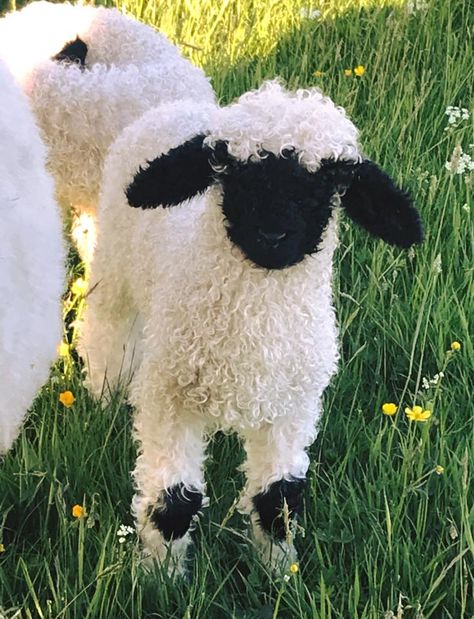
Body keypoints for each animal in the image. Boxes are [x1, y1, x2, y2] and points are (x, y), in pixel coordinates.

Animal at [78, 82, 422, 576]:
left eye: (331, 181)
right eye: (228, 169)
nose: (273, 235)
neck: (252, 330)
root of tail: (174, 106)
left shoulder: (291, 407)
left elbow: (277, 500)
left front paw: (280, 572)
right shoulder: (169, 400)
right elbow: (174, 503)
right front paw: (162, 576)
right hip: (114, 267)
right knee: (106, 329)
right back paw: (104, 392)